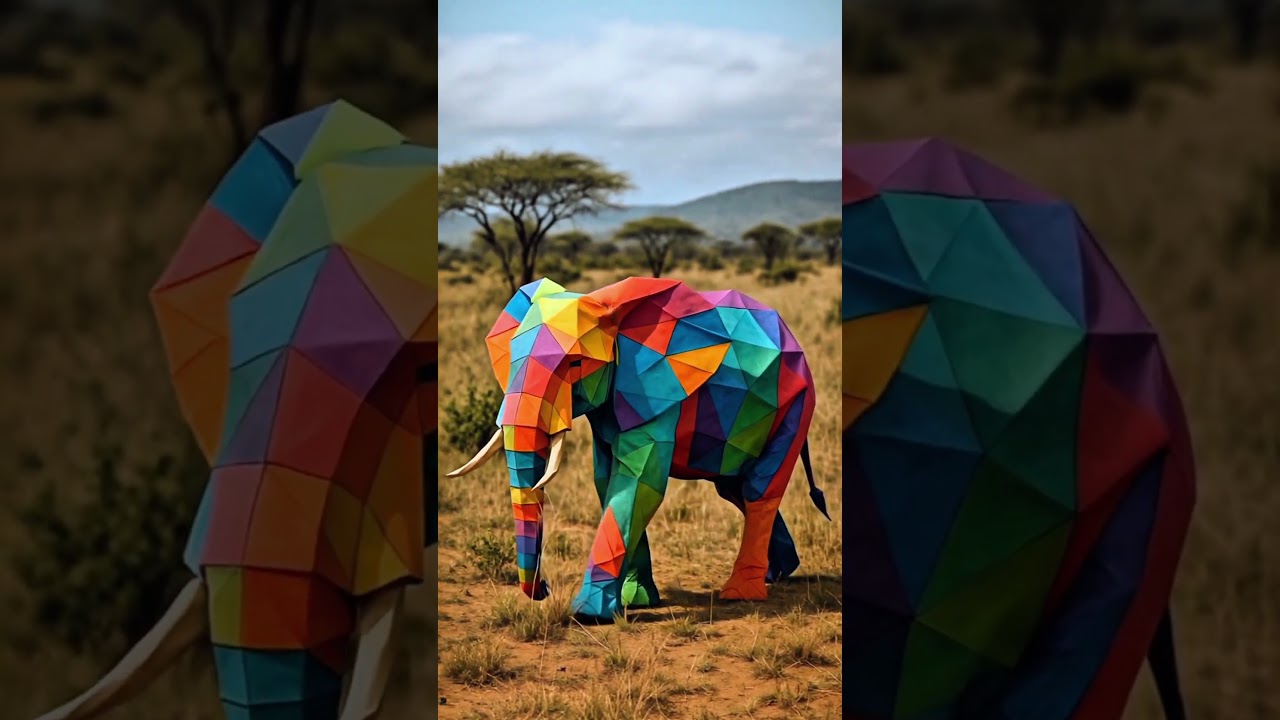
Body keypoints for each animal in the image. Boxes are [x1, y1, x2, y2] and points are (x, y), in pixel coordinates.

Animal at [448, 276, 830, 622]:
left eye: (575, 364)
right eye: (512, 358)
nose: (545, 588)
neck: (609, 309)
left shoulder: (655, 394)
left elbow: (638, 485)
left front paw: (588, 614)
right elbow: (607, 483)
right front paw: (636, 601)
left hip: (796, 403)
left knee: (759, 491)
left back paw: (741, 593)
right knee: (734, 488)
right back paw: (778, 572)